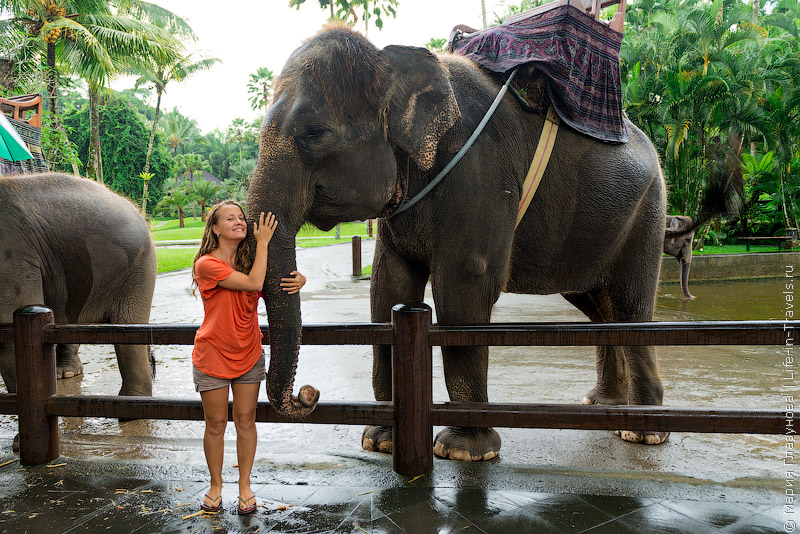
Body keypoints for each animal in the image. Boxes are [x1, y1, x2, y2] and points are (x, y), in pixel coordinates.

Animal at [248, 25, 668, 460]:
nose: (308, 394)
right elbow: (387, 291)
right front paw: (379, 441)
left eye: (314, 134)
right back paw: (604, 405)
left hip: (647, 212)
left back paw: (643, 432)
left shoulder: (480, 174)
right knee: (601, 308)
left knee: (632, 305)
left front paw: (464, 451)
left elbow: (462, 289)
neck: (391, 63)